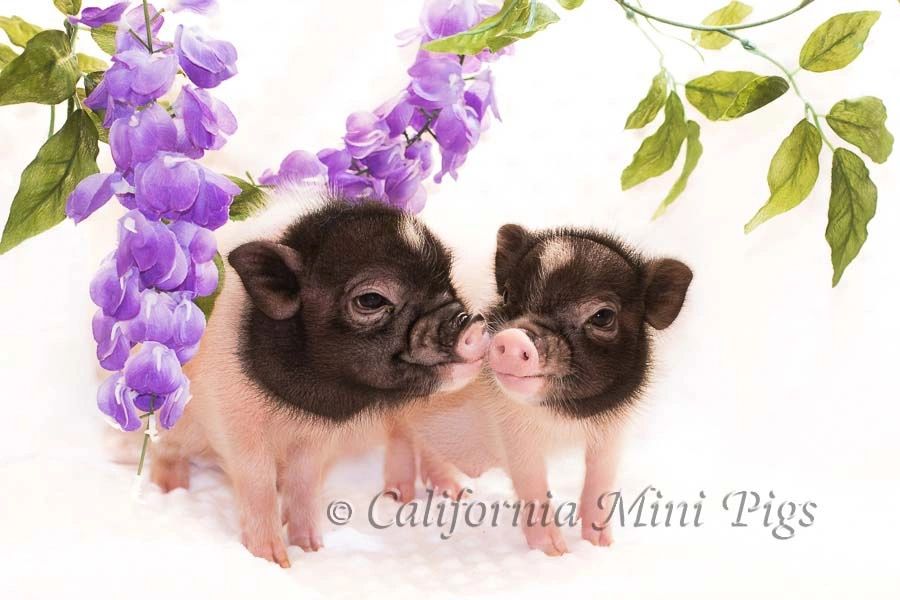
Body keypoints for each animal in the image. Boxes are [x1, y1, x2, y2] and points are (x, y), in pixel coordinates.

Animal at [149, 190, 490, 567]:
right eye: (371, 299)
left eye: (447, 279)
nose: (473, 325)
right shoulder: (231, 416)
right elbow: (257, 479)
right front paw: (275, 561)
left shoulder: (317, 437)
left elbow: (305, 481)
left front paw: (310, 548)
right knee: (164, 449)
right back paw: (169, 489)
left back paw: (448, 494)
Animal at [395, 224, 692, 555]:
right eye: (508, 295)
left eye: (603, 315)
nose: (513, 337)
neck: (562, 415)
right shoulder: (513, 431)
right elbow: (532, 481)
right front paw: (555, 552)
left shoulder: (613, 429)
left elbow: (601, 479)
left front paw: (601, 544)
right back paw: (399, 496)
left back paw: (457, 493)